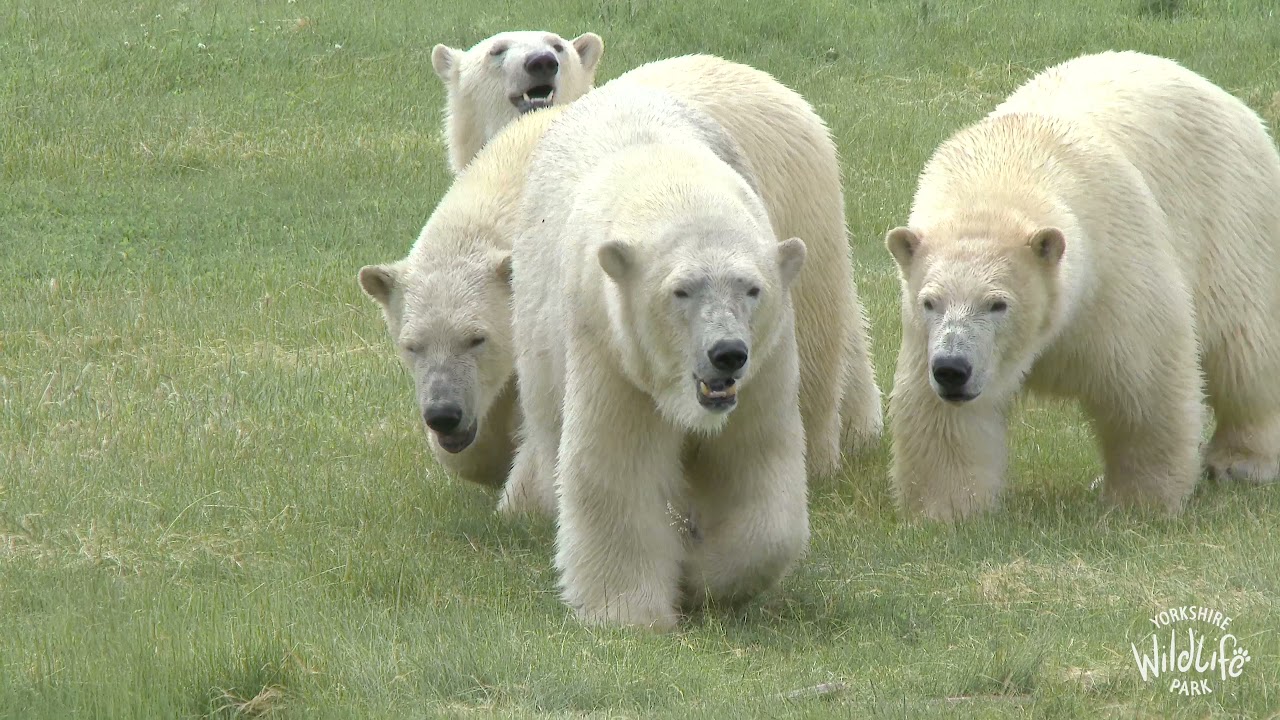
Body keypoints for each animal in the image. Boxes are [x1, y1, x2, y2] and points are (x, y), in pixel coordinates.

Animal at [511, 83, 810, 630]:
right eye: (681, 291)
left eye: (751, 288)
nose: (727, 354)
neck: (670, 179)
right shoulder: (610, 346)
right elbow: (615, 467)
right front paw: (627, 612)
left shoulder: (767, 361)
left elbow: (756, 459)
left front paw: (701, 576)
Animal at [884, 50, 1280, 523]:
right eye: (931, 302)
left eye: (998, 304)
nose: (952, 369)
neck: (1007, 166)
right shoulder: (927, 337)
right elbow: (943, 419)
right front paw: (947, 512)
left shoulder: (1115, 274)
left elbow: (1145, 387)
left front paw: (1141, 502)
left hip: (1232, 221)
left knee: (1244, 348)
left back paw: (1242, 461)